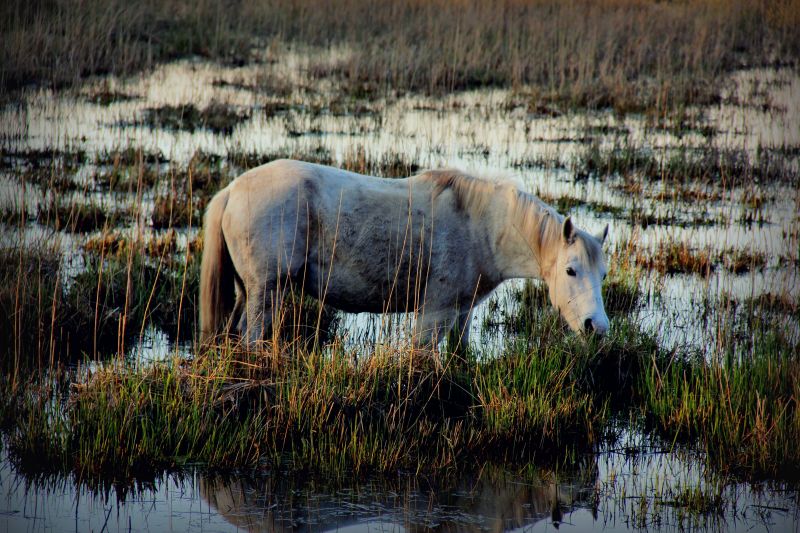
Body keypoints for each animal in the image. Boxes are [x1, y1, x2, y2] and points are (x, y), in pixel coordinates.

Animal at [198, 158, 608, 350]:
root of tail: (232, 190)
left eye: (602, 275)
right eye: (571, 271)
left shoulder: (461, 313)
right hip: (266, 291)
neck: (482, 226)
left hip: (249, 291)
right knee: (251, 338)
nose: (598, 328)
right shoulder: (434, 313)